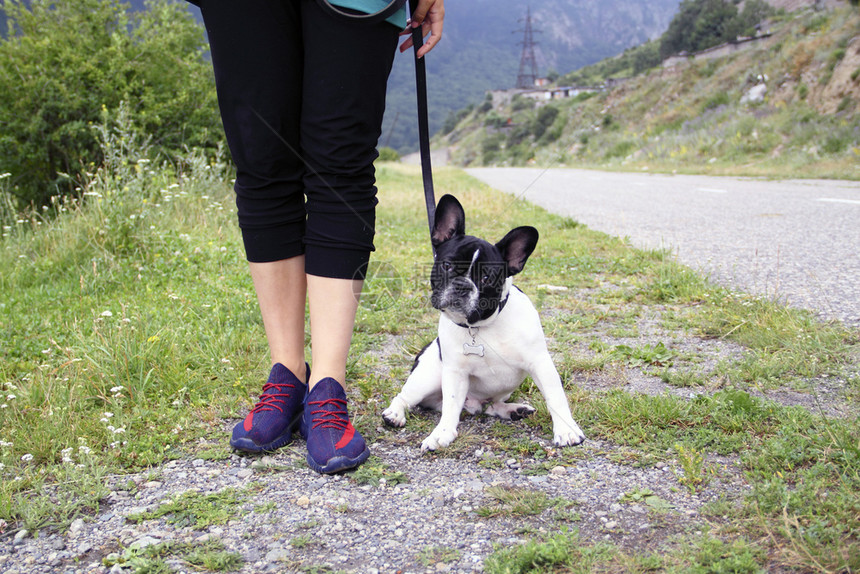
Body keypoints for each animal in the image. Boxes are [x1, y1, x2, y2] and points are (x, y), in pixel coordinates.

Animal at [382, 196, 584, 452]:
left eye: (487, 277)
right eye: (447, 265)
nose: (462, 285)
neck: (480, 326)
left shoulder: (540, 363)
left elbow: (555, 396)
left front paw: (566, 430)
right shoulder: (455, 372)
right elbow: (450, 406)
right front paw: (441, 434)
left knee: (490, 406)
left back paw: (514, 410)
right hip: (427, 376)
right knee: (407, 397)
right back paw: (394, 414)